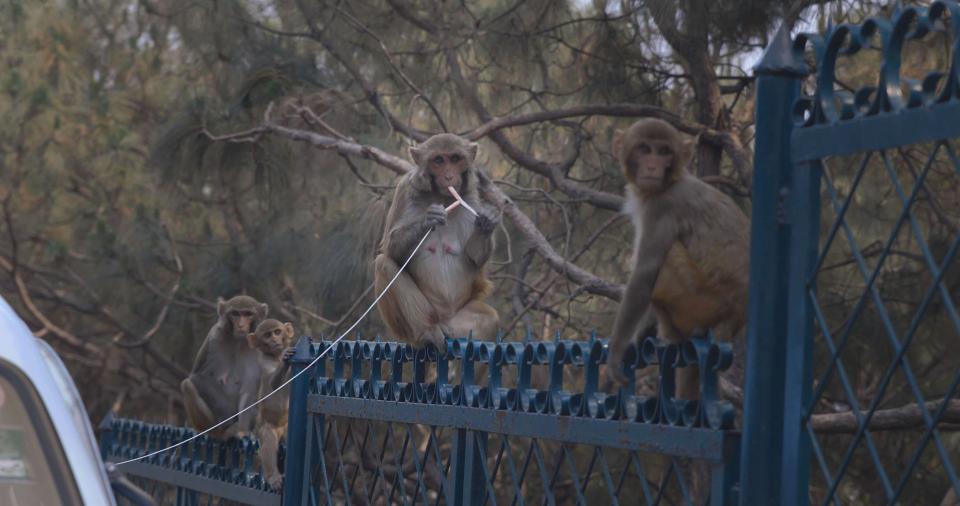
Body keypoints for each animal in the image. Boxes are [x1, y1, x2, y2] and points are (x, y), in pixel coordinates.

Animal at [180, 295, 269, 438]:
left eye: (248, 314)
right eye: (235, 314)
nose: (241, 325)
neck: (238, 341)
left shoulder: (258, 349)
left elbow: (249, 390)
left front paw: (242, 430)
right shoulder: (214, 336)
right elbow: (198, 376)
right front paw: (228, 419)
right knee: (187, 385)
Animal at [246, 319, 296, 490]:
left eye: (277, 332)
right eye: (267, 335)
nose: (275, 340)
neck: (275, 357)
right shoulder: (264, 362)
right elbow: (274, 383)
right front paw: (285, 361)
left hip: (287, 425)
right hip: (263, 424)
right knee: (268, 438)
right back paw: (273, 477)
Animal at [374, 133, 500, 350]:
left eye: (455, 158)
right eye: (439, 160)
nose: (449, 176)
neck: (441, 196)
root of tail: (444, 319)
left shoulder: (471, 197)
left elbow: (474, 258)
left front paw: (487, 221)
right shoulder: (405, 189)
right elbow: (390, 249)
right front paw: (427, 219)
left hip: (458, 320)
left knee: (490, 319)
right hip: (417, 323)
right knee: (384, 265)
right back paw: (428, 331)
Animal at [605, 118, 750, 401]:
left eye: (664, 152)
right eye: (644, 148)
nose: (652, 166)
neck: (670, 181)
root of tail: (737, 315)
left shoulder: (662, 207)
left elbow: (645, 274)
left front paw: (616, 354)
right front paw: (641, 334)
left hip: (700, 301)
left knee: (669, 256)